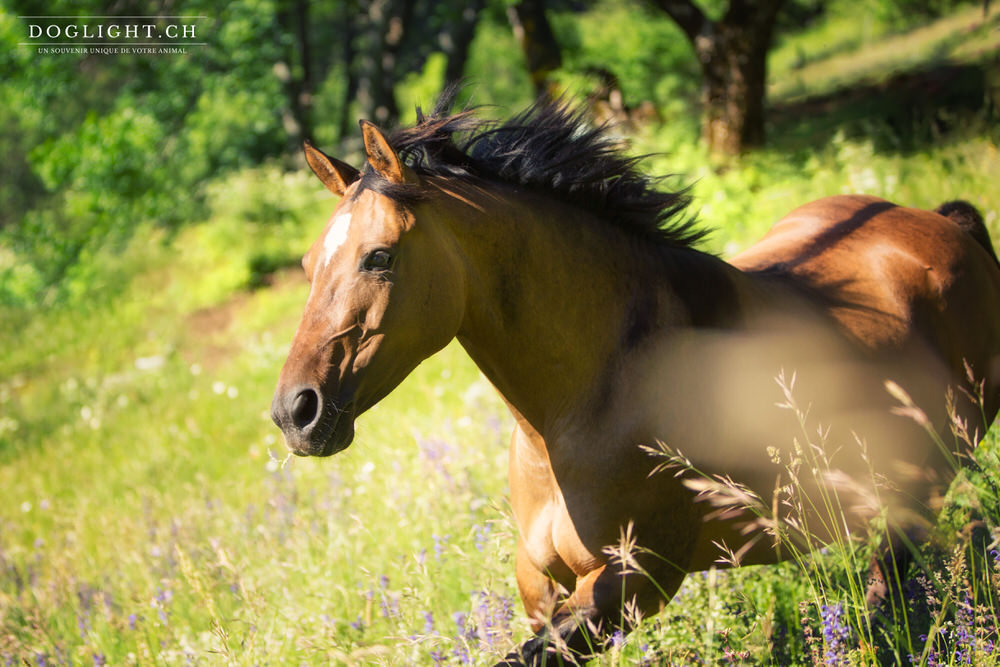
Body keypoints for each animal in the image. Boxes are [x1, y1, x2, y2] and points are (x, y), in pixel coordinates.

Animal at [270, 96, 1000, 664]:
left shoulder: (634, 580)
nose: (295, 413)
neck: (585, 404)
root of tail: (946, 227)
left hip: (926, 483)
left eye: (379, 257)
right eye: (308, 265)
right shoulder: (539, 584)